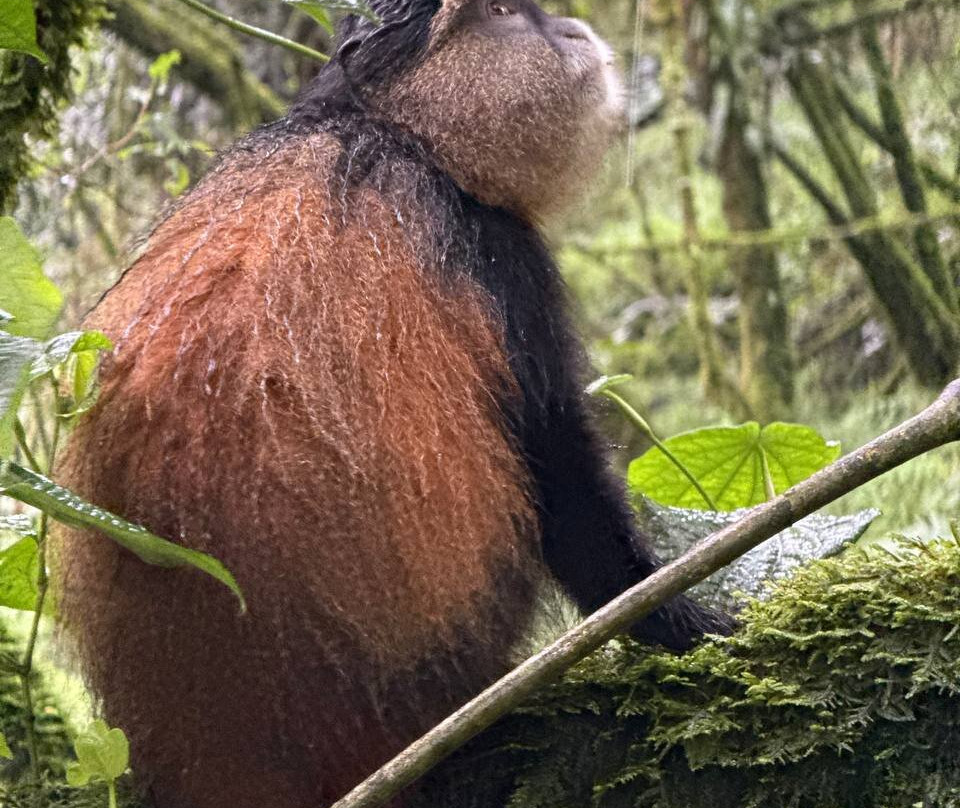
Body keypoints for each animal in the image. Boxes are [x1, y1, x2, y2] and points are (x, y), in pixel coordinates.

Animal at [54, 1, 731, 806]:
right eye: (503, 12)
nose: (566, 24)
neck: (389, 128)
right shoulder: (499, 260)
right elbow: (569, 494)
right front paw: (689, 624)